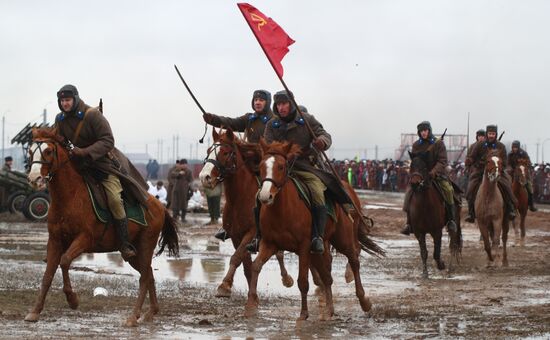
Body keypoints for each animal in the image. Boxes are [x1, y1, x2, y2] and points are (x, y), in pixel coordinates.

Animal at [25, 128, 179, 326]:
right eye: (30, 152)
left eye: (49, 151)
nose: (34, 178)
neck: (70, 196)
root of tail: (159, 205)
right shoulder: (55, 241)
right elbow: (47, 275)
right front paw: (35, 311)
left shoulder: (84, 239)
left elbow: (65, 261)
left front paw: (73, 299)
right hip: (133, 253)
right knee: (149, 274)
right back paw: (151, 312)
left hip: (146, 245)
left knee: (144, 277)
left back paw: (133, 316)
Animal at [198, 129, 294, 298]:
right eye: (209, 151)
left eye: (225, 152)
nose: (205, 177)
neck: (240, 198)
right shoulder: (236, 236)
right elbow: (245, 264)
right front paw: (250, 289)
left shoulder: (251, 233)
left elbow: (236, 258)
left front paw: (224, 285)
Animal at [246, 141, 384, 322]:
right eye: (261, 166)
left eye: (281, 166)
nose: (264, 196)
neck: (282, 210)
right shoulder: (269, 244)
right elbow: (255, 267)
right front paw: (251, 304)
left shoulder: (304, 246)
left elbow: (303, 281)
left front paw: (303, 313)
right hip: (321, 247)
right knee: (327, 275)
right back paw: (329, 309)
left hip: (342, 239)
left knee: (354, 260)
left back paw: (363, 301)